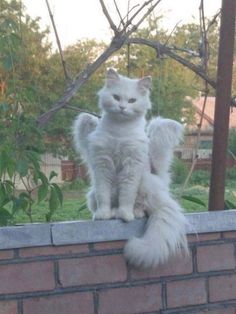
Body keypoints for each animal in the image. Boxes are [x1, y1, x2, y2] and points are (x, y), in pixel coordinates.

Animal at [72, 68, 188, 268]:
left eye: (132, 100)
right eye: (116, 97)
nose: (122, 108)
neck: (119, 132)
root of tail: (161, 182)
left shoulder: (131, 166)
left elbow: (127, 195)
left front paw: (125, 215)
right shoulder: (102, 165)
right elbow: (104, 196)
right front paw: (103, 215)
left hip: (146, 182)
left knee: (142, 207)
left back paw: (132, 213)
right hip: (93, 193)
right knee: (105, 201)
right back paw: (111, 213)